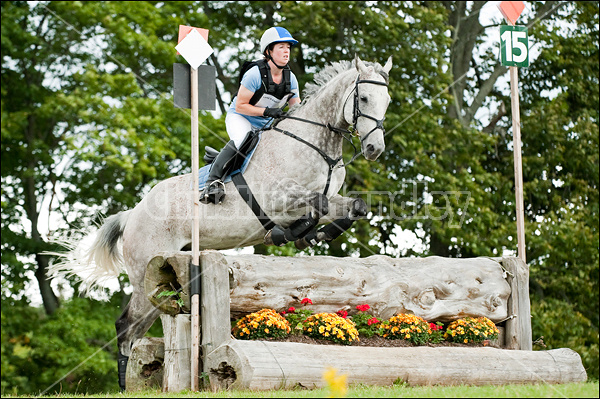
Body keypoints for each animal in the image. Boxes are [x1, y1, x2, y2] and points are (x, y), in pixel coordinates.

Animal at [48, 54, 394, 390]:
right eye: (364, 97)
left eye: (387, 100)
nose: (374, 149)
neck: (315, 143)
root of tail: (132, 214)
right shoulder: (278, 200)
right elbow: (314, 208)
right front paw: (289, 235)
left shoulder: (331, 199)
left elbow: (356, 207)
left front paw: (316, 237)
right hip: (142, 273)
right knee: (126, 325)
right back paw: (124, 384)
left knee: (137, 327)